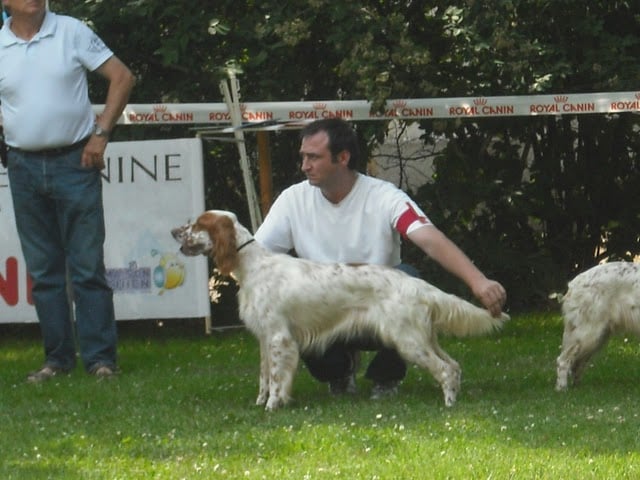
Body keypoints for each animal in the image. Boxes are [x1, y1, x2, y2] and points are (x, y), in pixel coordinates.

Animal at [171, 211, 510, 412]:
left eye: (197, 224)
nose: (174, 231)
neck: (253, 266)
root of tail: (418, 286)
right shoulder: (265, 339)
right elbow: (265, 377)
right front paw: (261, 402)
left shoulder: (279, 338)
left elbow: (278, 378)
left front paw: (273, 406)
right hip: (424, 338)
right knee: (453, 365)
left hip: (409, 340)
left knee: (445, 369)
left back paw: (449, 404)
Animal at [556, 260, 640, 392]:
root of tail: (574, 284)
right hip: (588, 333)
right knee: (563, 361)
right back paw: (562, 389)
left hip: (598, 335)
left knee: (577, 364)